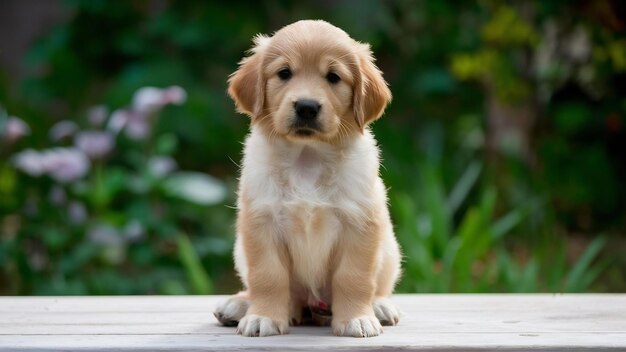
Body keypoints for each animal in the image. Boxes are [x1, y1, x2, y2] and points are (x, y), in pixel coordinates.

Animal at [213, 20, 400, 338]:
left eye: (333, 77)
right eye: (284, 73)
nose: (307, 107)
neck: (307, 157)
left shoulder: (360, 223)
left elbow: (353, 277)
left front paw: (356, 318)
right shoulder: (261, 222)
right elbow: (268, 275)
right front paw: (263, 316)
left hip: (389, 249)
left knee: (379, 286)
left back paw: (379, 306)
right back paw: (239, 305)